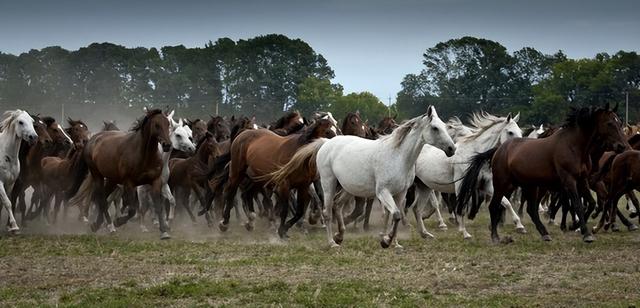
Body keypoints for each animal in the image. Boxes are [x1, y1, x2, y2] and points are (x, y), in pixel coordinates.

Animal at [67, 109, 172, 239]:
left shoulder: (156, 181)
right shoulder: (129, 183)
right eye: (156, 125)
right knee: (101, 199)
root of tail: (91, 140)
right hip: (98, 176)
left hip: (112, 180)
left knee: (104, 199)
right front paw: (118, 221)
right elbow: (131, 209)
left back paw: (97, 224)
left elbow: (158, 206)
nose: (167, 145)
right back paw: (109, 226)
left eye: (168, 124)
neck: (144, 155)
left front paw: (164, 232)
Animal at [314, 106, 456, 248]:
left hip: (348, 188)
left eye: (444, 126)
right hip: (329, 183)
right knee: (327, 212)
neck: (398, 157)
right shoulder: (383, 192)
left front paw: (395, 243)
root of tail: (327, 143)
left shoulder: (401, 193)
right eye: (435, 128)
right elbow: (397, 215)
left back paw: (339, 236)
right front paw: (386, 241)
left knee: (338, 205)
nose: (452, 149)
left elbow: (396, 216)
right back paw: (332, 242)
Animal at [458, 104, 628, 243]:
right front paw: (585, 233)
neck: (573, 146)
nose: (623, 146)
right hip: (503, 184)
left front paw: (576, 226)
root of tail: (498, 149)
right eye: (609, 123)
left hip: (529, 186)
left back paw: (544, 233)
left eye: (619, 123)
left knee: (530, 210)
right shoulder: (568, 180)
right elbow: (577, 204)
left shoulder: (582, 180)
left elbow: (591, 203)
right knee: (494, 206)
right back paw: (495, 237)